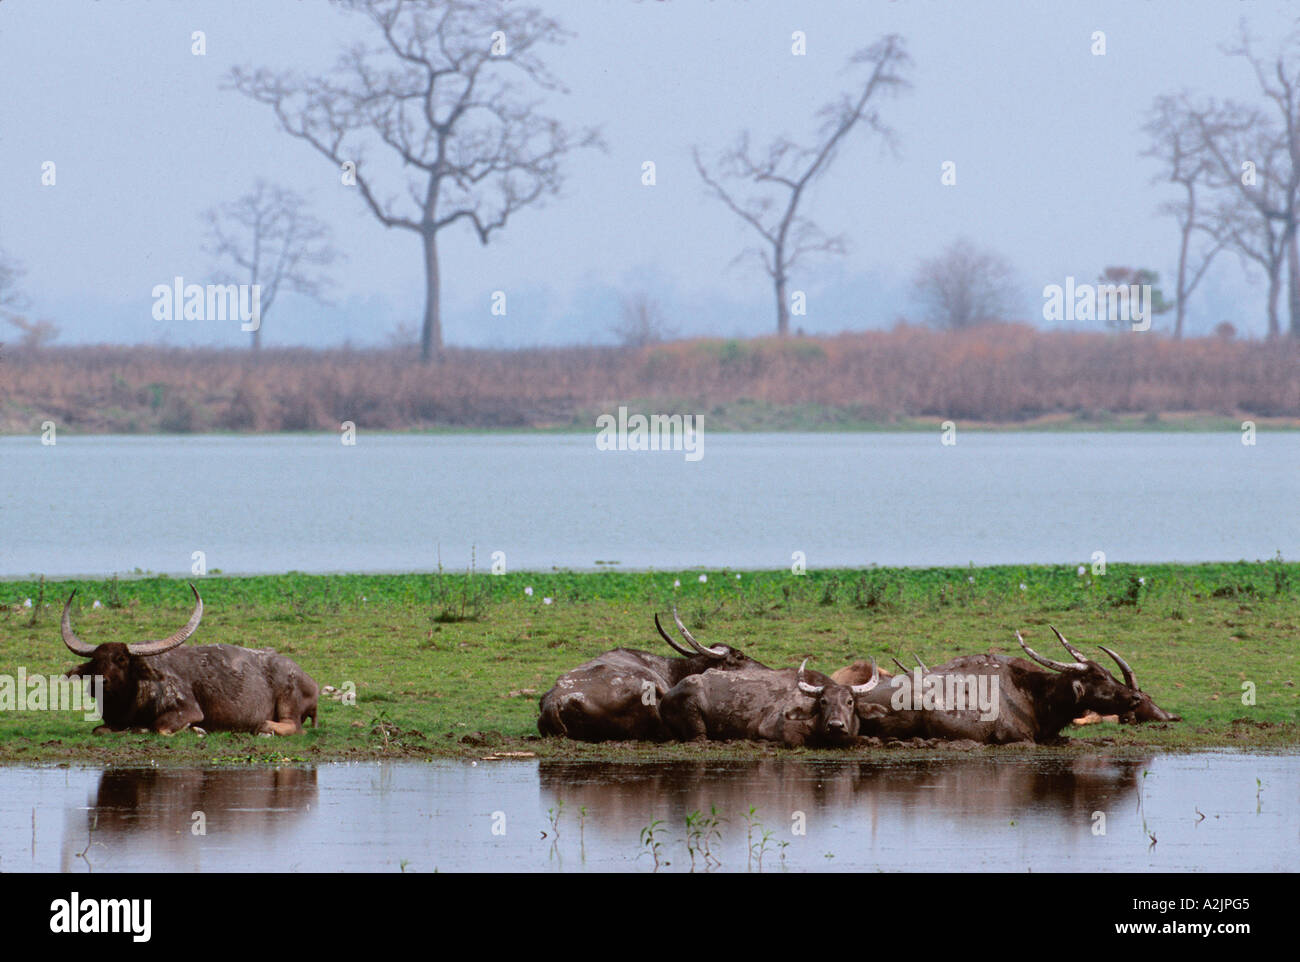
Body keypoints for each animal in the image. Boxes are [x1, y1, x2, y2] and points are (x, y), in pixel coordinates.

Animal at [62, 585, 321, 738]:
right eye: (96, 660)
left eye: (121, 659)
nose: (98, 682)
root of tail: (309, 680)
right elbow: (99, 730)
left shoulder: (187, 710)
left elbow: (159, 728)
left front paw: (197, 730)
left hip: (288, 701)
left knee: (294, 727)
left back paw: (262, 728)